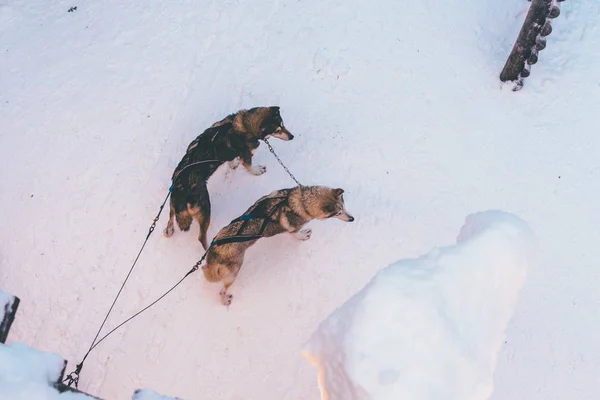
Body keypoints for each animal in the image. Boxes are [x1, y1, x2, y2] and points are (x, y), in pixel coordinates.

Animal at [164, 107, 296, 250]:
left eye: (282, 124)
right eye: (277, 130)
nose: (291, 137)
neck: (243, 125)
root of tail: (181, 189)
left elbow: (232, 159)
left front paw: (233, 164)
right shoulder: (246, 156)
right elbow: (250, 167)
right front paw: (256, 170)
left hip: (172, 205)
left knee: (170, 217)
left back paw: (168, 230)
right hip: (205, 210)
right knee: (201, 237)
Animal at [202, 186, 354, 304]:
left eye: (344, 207)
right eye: (338, 213)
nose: (352, 219)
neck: (301, 202)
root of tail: (214, 250)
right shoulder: (293, 230)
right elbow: (297, 235)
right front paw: (303, 236)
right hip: (233, 273)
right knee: (222, 291)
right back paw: (224, 300)